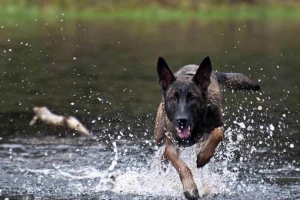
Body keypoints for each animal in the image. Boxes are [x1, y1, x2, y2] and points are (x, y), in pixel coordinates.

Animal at [154, 56, 258, 200]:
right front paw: (190, 188)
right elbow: (181, 166)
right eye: (173, 98)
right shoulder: (172, 144)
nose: (181, 120)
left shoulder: (217, 124)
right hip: (158, 133)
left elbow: (217, 133)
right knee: (162, 149)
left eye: (192, 98)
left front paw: (203, 157)